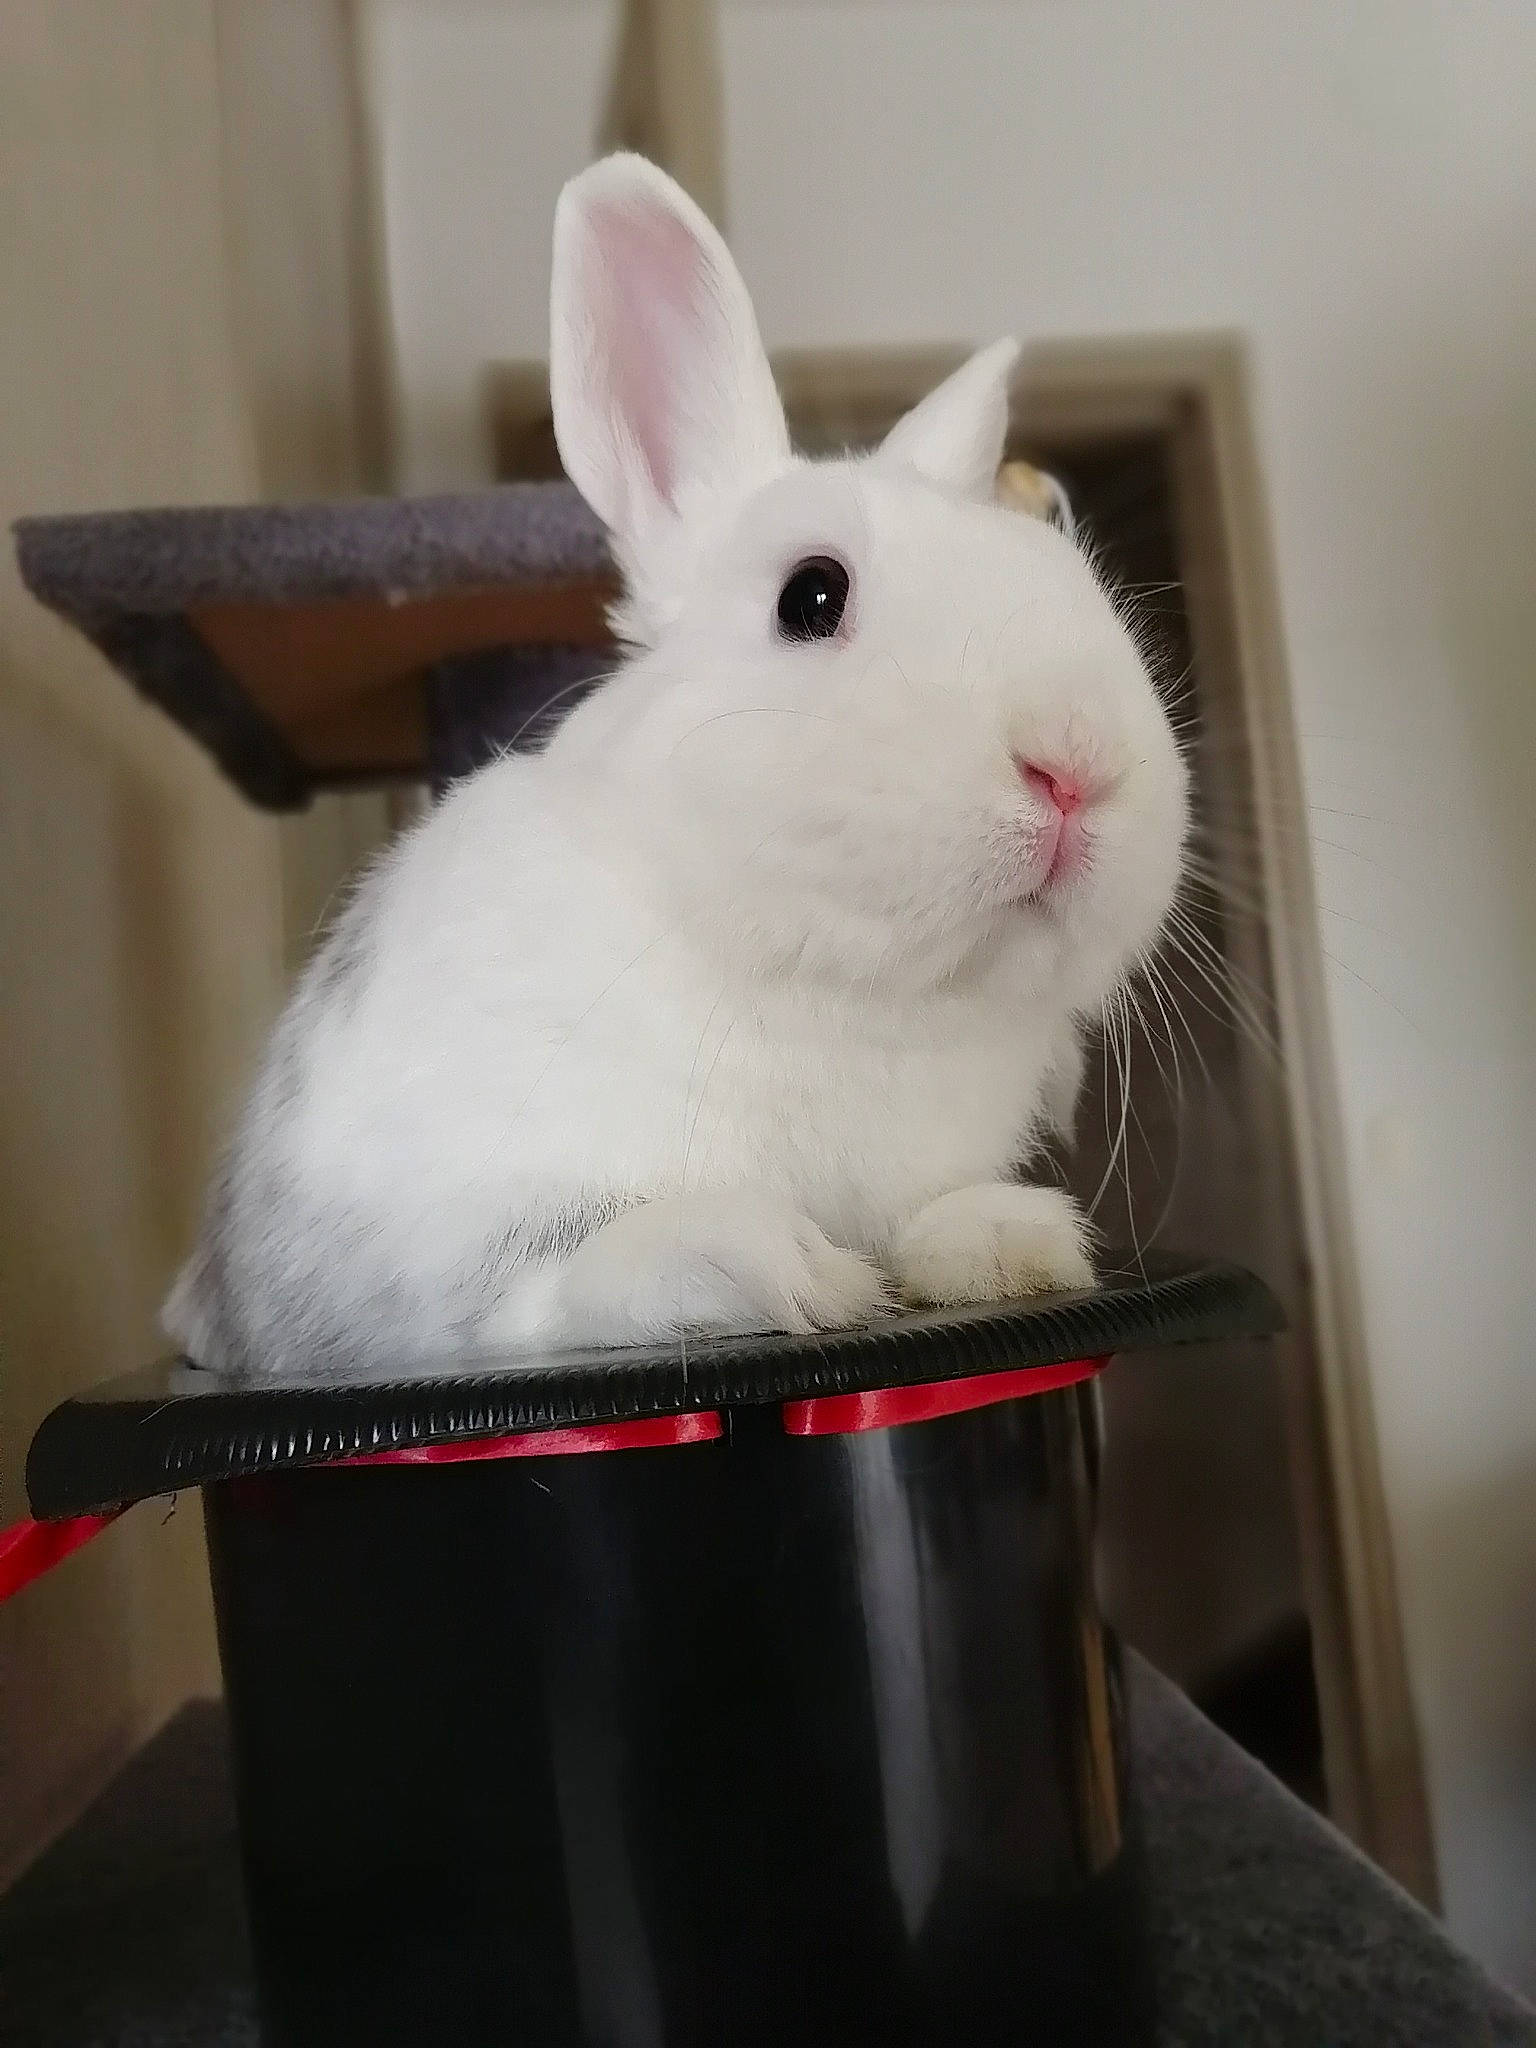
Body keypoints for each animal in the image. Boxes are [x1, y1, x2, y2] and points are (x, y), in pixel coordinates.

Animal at [162, 152, 1188, 1377]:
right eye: (811, 595)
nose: (1078, 764)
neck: (840, 988)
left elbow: (931, 1219)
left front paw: (1007, 1240)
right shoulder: (449, 1239)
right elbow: (550, 1281)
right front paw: (774, 1264)